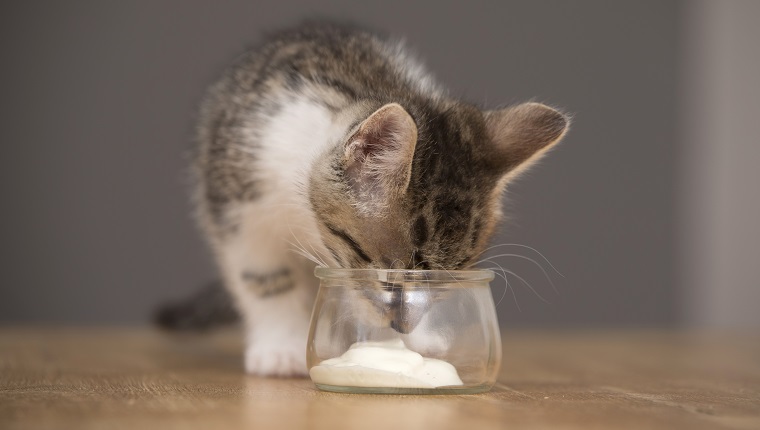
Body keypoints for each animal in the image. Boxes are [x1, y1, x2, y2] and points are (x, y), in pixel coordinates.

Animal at [191, 22, 568, 376]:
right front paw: (282, 348)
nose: (403, 326)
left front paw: (406, 344)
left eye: (446, 284)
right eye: (388, 280)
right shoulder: (237, 202)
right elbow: (263, 276)